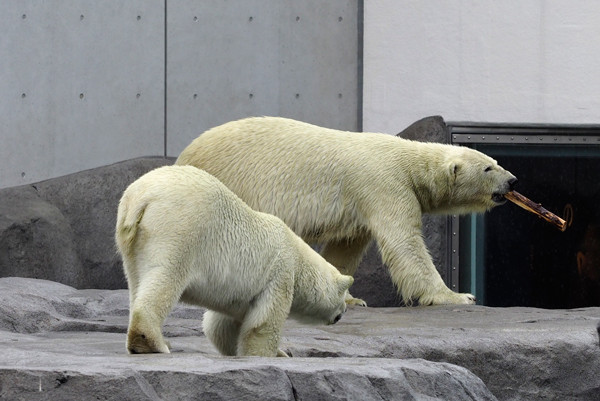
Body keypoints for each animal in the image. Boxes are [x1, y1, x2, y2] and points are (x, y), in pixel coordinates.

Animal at [115, 164, 354, 354]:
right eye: (344, 296)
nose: (343, 313)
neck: (298, 256)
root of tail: (141, 197)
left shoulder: (238, 296)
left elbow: (221, 327)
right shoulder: (279, 273)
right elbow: (263, 324)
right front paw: (269, 354)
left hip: (132, 241)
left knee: (136, 281)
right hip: (180, 229)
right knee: (165, 276)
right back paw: (152, 343)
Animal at [176, 116, 516, 306]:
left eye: (495, 161)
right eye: (488, 167)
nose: (513, 180)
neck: (408, 160)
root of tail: (183, 154)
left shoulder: (361, 204)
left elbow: (346, 247)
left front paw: (351, 298)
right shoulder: (384, 185)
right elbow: (404, 243)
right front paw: (457, 296)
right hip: (230, 180)